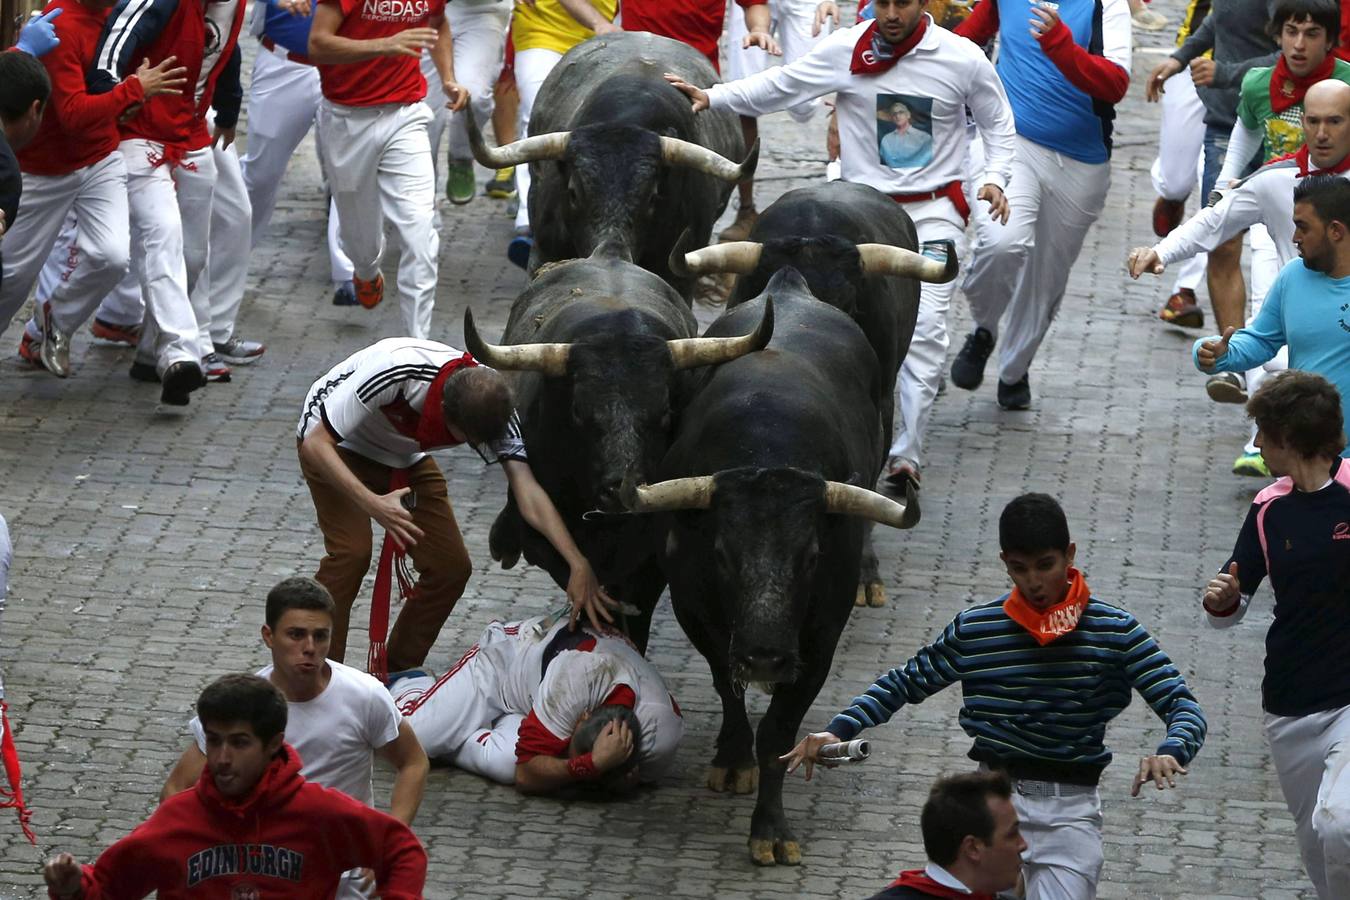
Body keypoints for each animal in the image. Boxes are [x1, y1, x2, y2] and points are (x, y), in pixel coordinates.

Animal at [626, 271, 923, 868]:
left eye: (811, 555)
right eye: (721, 553)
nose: (765, 655)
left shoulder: (819, 642)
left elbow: (780, 732)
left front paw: (770, 828)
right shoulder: (700, 615)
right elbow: (728, 687)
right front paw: (733, 761)